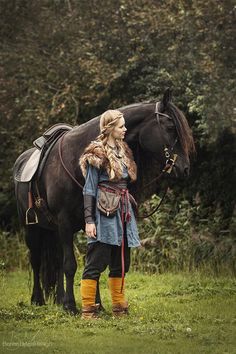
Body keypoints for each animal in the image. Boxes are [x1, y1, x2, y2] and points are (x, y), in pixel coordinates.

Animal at [12, 90, 195, 314]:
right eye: (170, 127)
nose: (185, 168)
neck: (77, 163)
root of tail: (21, 161)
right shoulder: (64, 223)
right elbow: (71, 265)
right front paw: (71, 306)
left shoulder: (90, 223)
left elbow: (93, 264)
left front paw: (95, 305)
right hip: (32, 229)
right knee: (36, 261)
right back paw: (38, 299)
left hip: (53, 231)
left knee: (55, 262)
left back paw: (59, 298)